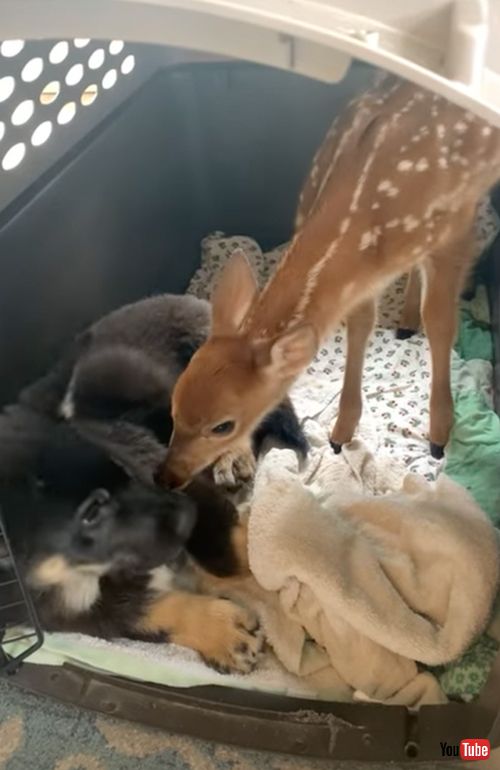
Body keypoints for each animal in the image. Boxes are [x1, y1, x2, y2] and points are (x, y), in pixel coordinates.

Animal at [159, 75, 500, 489]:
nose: (166, 475)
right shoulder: (365, 278)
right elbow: (360, 325)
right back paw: (404, 322)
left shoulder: (453, 229)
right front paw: (342, 430)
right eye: (174, 405)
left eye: (223, 425)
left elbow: (440, 324)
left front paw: (439, 434)